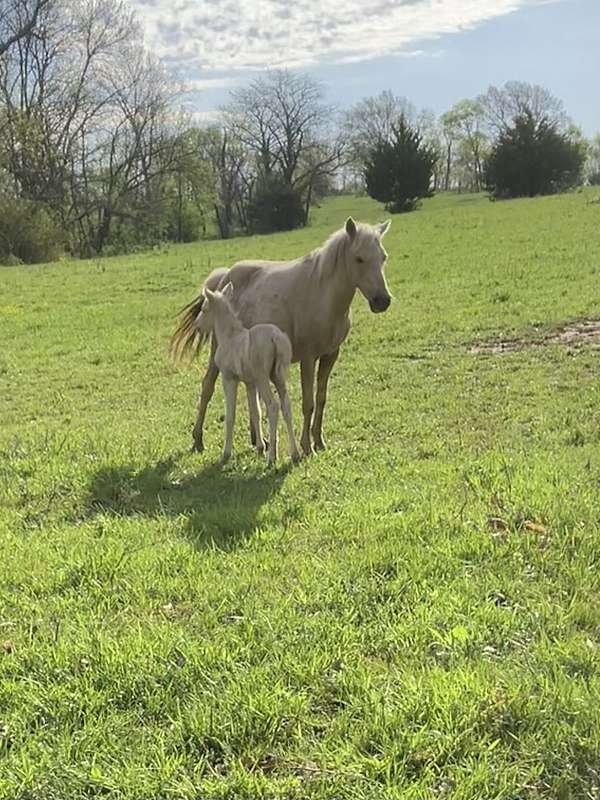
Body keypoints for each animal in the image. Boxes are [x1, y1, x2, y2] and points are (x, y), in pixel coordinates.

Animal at [194, 282, 300, 467]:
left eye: (205, 309)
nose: (198, 326)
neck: (230, 337)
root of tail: (276, 338)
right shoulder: (250, 382)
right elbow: (256, 412)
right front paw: (260, 447)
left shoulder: (229, 378)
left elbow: (231, 415)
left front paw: (226, 454)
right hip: (278, 376)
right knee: (286, 406)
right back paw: (294, 454)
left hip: (263, 377)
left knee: (273, 406)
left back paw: (272, 458)